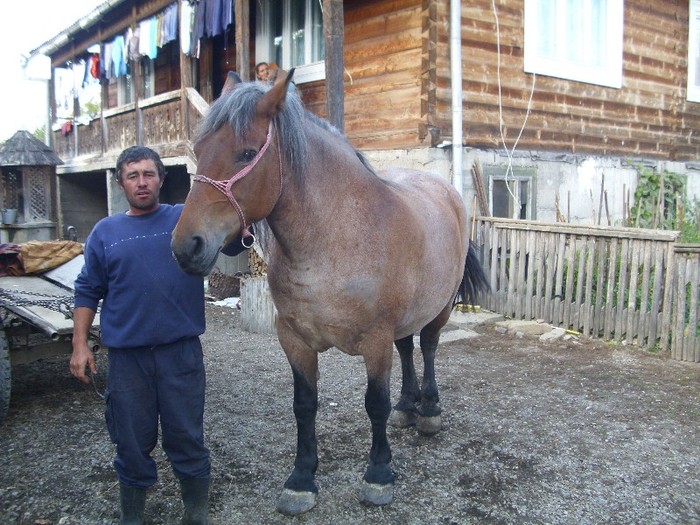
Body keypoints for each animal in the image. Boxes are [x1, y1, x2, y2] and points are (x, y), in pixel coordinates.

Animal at [171, 70, 486, 516]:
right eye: (198, 150)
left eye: (246, 154)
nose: (187, 246)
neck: (336, 239)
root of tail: (447, 190)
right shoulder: (295, 339)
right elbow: (304, 405)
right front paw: (301, 480)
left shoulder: (375, 341)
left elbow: (375, 403)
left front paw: (378, 475)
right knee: (407, 349)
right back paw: (407, 408)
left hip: (438, 310)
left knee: (426, 348)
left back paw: (428, 411)